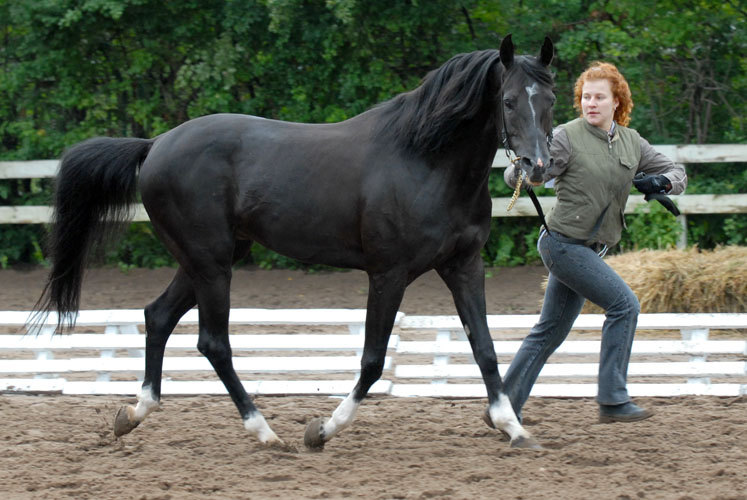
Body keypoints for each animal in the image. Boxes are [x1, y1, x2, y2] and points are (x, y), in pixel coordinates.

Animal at [32, 34, 556, 450]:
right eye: (509, 101)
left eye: (550, 98)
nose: (536, 168)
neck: (425, 160)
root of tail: (154, 145)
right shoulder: (388, 274)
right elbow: (372, 360)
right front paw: (321, 430)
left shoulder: (463, 266)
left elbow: (485, 348)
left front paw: (514, 429)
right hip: (211, 264)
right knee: (213, 342)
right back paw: (266, 433)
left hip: (208, 259)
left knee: (158, 316)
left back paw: (133, 414)